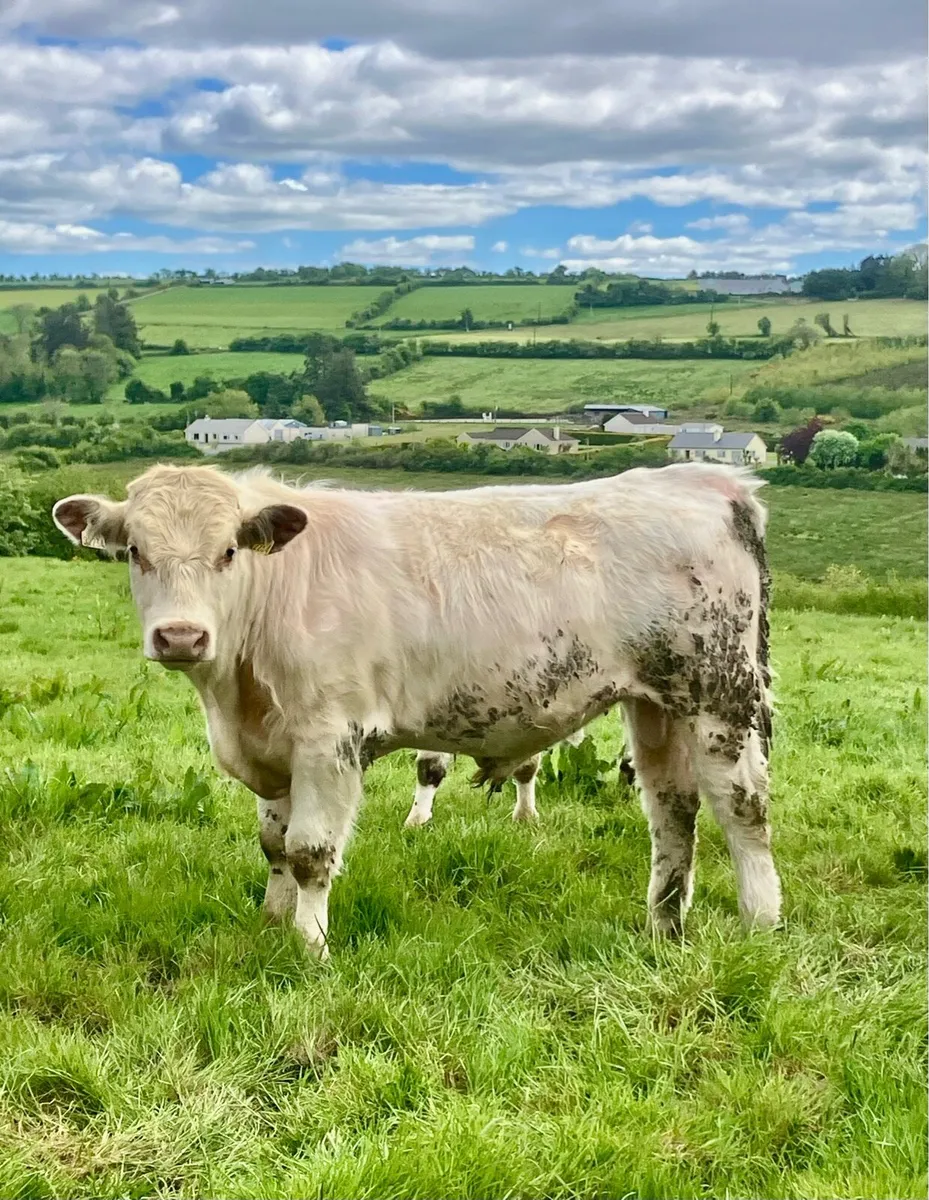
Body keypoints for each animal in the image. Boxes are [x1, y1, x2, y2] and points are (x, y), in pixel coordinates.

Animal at [52, 461, 780, 958]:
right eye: (136, 553)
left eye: (227, 552)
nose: (180, 636)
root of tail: (703, 479)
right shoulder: (275, 749)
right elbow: (274, 845)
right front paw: (271, 922)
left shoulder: (329, 740)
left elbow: (310, 851)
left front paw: (309, 949)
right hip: (656, 704)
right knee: (673, 811)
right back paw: (663, 926)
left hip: (721, 695)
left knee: (740, 807)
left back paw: (760, 923)